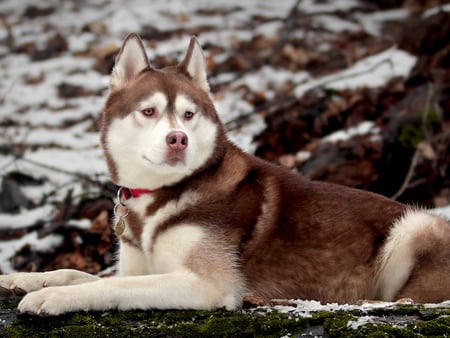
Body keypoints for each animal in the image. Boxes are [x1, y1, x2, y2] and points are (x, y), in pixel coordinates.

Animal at [0, 33, 450, 316]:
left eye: (187, 114)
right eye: (149, 111)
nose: (178, 139)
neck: (161, 197)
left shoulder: (206, 283)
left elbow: (109, 286)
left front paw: (54, 298)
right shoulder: (137, 265)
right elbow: (76, 273)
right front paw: (25, 278)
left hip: (414, 225)